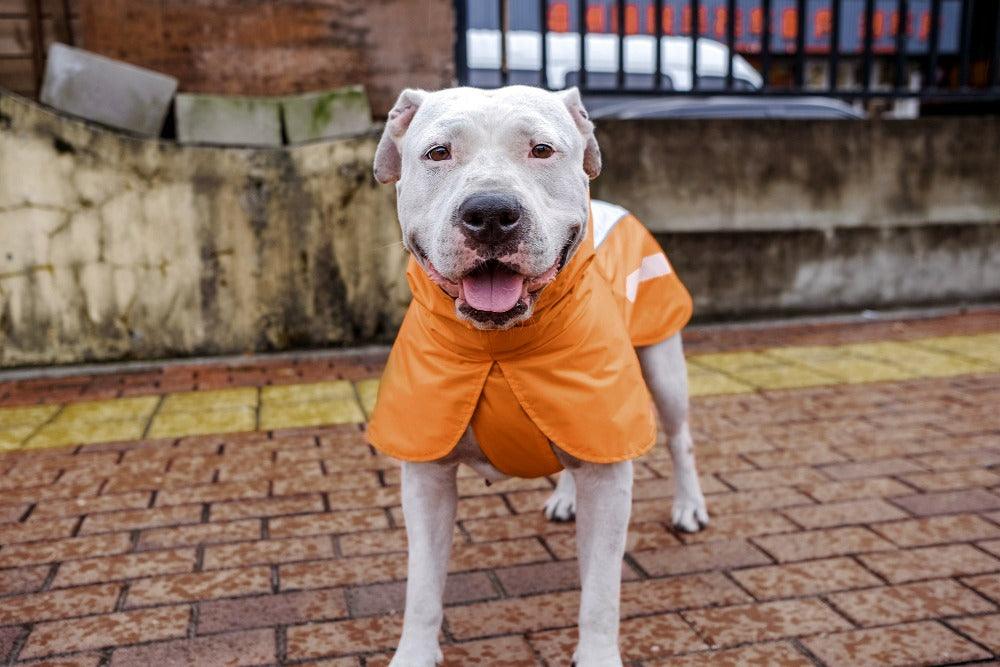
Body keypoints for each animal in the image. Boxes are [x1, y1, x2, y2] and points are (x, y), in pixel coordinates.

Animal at [370, 86, 712, 667]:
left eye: (542, 150)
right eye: (438, 153)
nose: (489, 212)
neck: (500, 348)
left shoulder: (609, 473)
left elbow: (600, 593)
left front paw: (597, 655)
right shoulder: (427, 472)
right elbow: (422, 587)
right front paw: (413, 652)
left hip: (663, 366)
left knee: (679, 437)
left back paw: (689, 505)